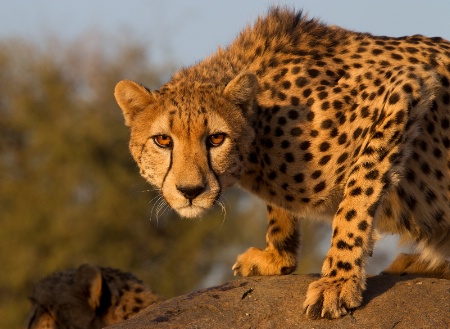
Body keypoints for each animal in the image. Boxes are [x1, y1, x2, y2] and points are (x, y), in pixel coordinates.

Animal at [113, 7, 450, 318]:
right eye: (163, 140)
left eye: (216, 139)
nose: (190, 191)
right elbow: (279, 210)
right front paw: (277, 257)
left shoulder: (403, 87)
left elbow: (356, 199)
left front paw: (338, 281)